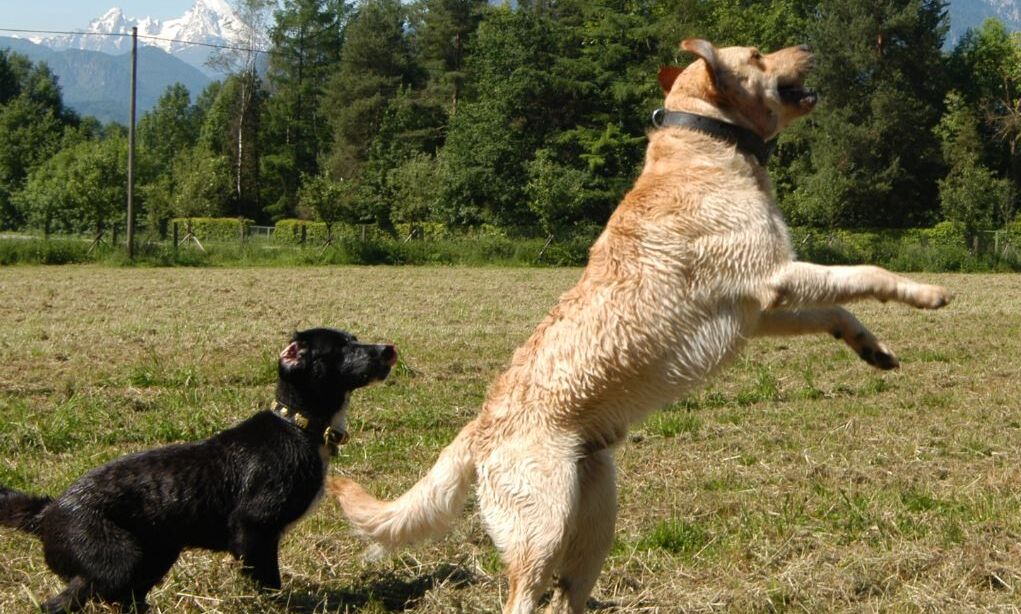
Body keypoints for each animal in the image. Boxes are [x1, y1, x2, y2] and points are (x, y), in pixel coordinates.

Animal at [0, 328, 394, 608]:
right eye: (341, 348)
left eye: (355, 339)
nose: (388, 348)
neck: (297, 426)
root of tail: (49, 511)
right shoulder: (253, 529)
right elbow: (269, 584)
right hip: (114, 561)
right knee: (58, 604)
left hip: (153, 557)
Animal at [330, 39, 951, 612]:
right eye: (756, 53)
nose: (806, 45)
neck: (711, 143)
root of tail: (477, 428)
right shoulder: (774, 277)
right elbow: (866, 273)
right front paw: (926, 293)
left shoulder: (760, 309)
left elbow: (839, 311)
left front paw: (874, 349)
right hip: (542, 530)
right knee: (523, 599)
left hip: (597, 521)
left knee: (566, 600)